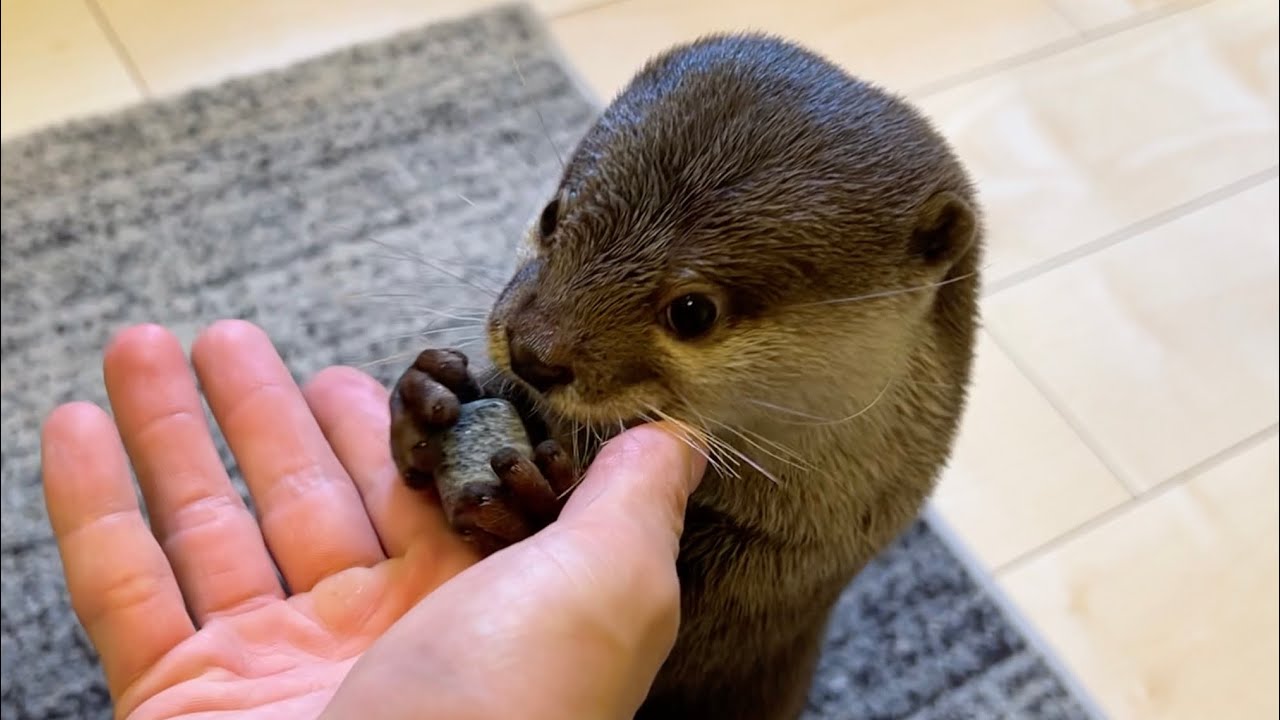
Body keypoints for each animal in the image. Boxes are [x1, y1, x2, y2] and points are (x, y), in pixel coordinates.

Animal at [388, 33, 982, 720]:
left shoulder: (764, 594)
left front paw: (534, 512)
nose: (532, 351)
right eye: (552, 214)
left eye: (693, 311)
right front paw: (426, 396)